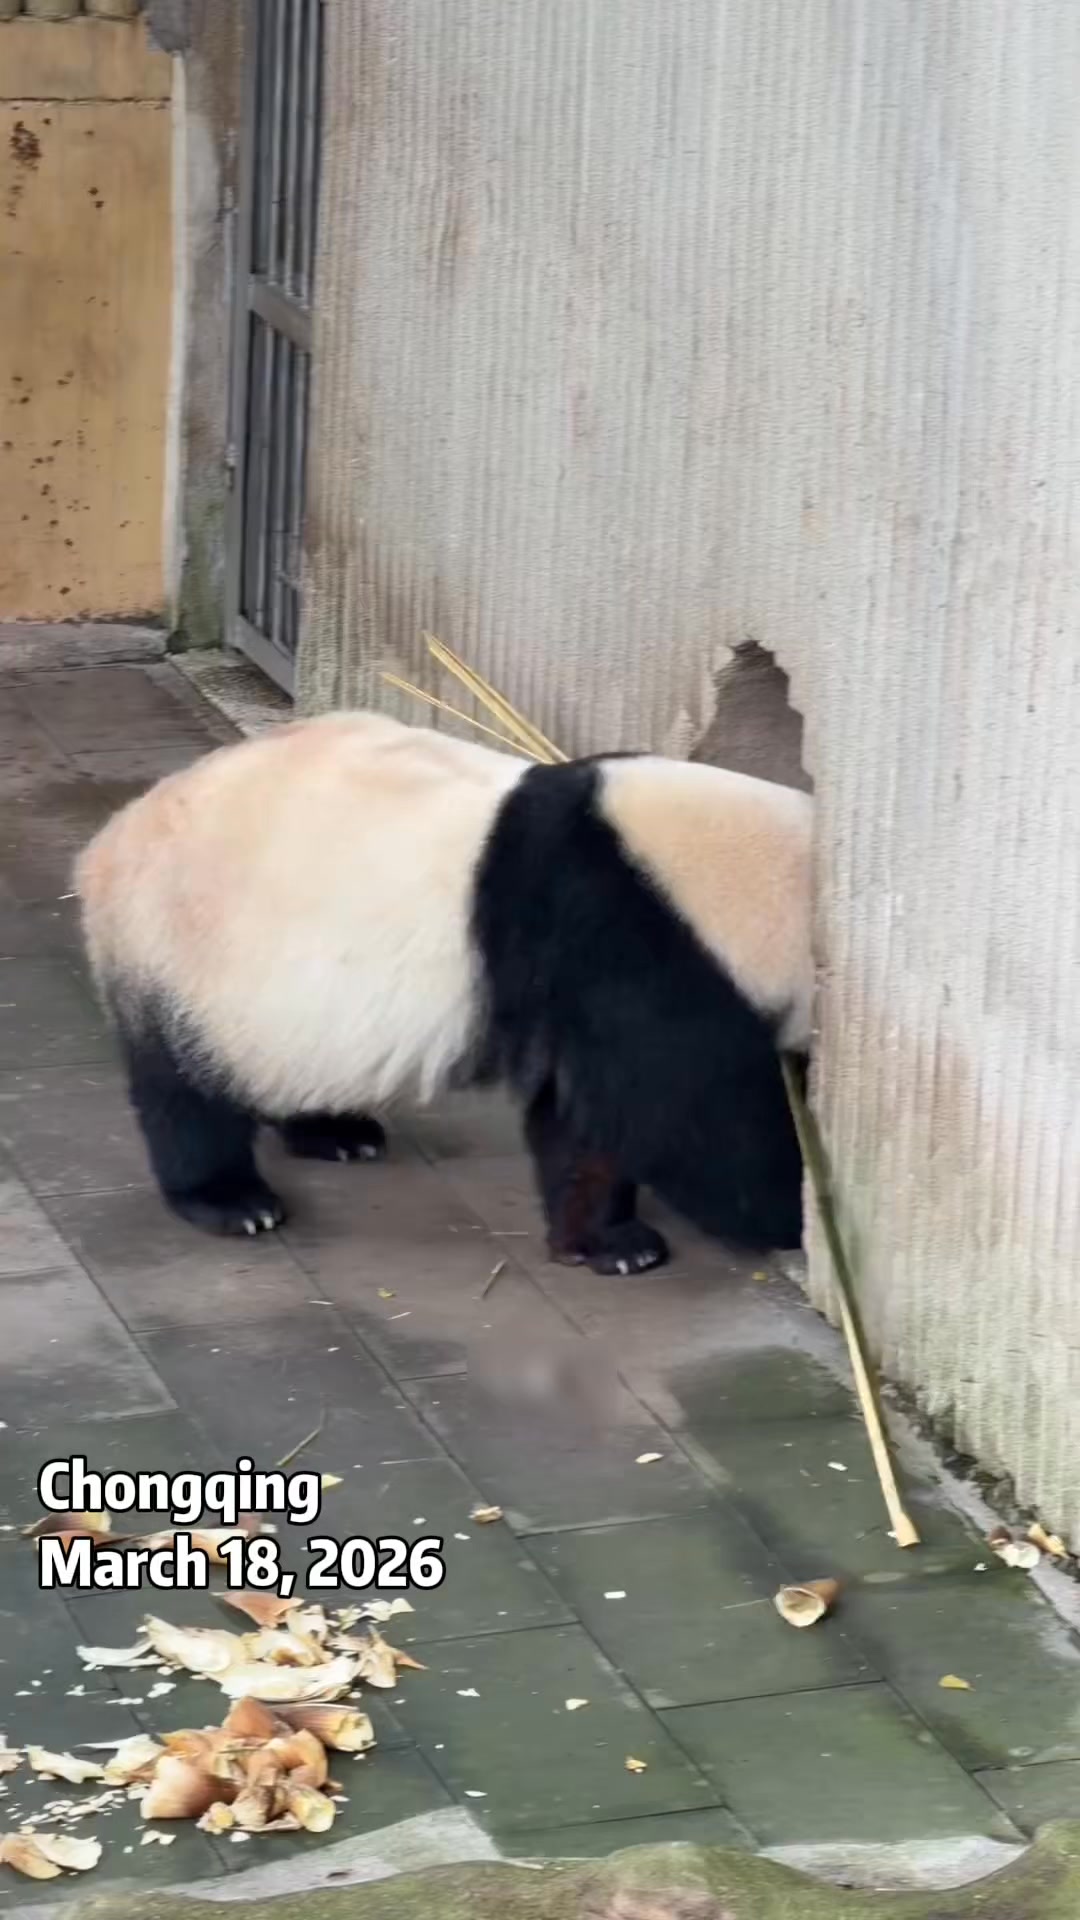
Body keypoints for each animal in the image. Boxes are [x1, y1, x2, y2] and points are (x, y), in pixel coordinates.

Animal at [75, 711, 813, 1275]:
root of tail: (104, 847)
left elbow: (582, 1114)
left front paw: (605, 1241)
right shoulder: (628, 936)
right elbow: (686, 1116)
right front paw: (789, 1214)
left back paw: (334, 1130)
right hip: (179, 954)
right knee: (184, 1090)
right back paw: (232, 1200)